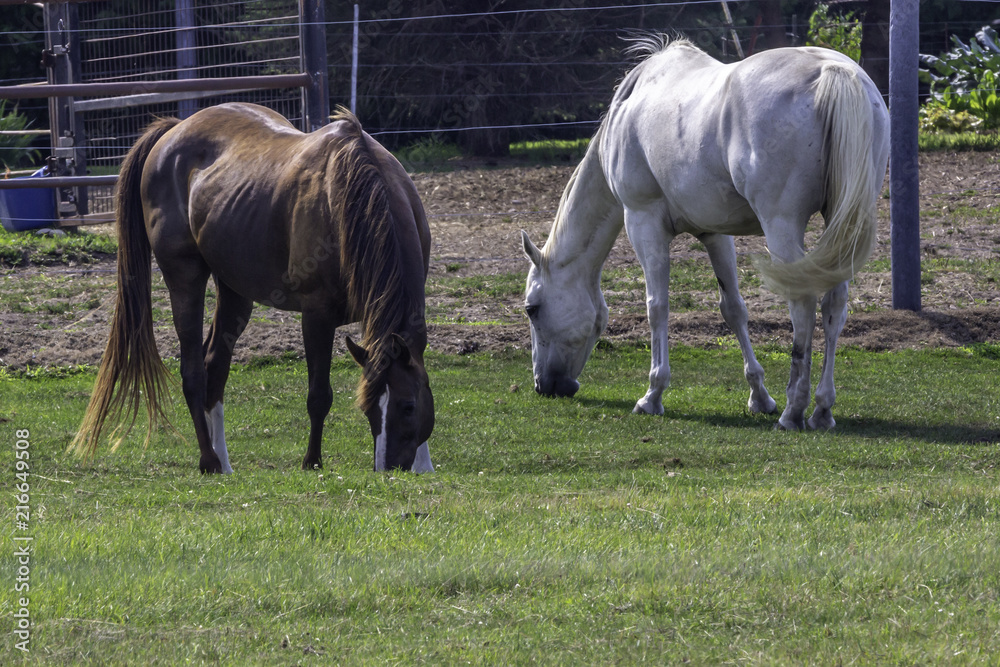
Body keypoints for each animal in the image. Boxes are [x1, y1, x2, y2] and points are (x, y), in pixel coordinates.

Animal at [70, 102, 430, 472]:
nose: (390, 468)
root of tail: (173, 130)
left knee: (214, 366)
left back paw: (225, 463)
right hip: (185, 279)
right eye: (370, 407)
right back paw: (209, 460)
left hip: (234, 289)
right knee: (193, 373)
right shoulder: (317, 315)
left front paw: (424, 465)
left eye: (409, 406)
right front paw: (312, 462)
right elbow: (319, 395)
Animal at [520, 37, 888, 434]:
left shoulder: (643, 222)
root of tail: (833, 71)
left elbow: (657, 307)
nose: (544, 385)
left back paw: (794, 410)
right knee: (834, 304)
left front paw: (652, 395)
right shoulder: (715, 233)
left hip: (782, 226)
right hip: (841, 226)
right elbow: (734, 309)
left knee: (803, 304)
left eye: (532, 308)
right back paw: (821, 408)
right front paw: (759, 397)